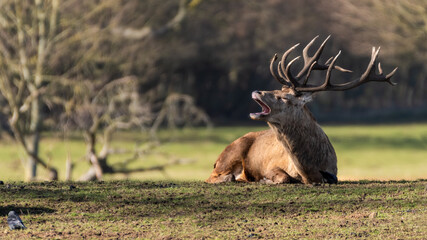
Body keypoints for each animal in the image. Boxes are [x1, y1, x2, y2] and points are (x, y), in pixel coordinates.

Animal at [207, 35, 398, 185]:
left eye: (283, 97)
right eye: (276, 90)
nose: (256, 91)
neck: (310, 171)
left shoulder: (333, 171)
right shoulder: (271, 166)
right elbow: (282, 177)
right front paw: (265, 180)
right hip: (230, 152)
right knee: (215, 176)